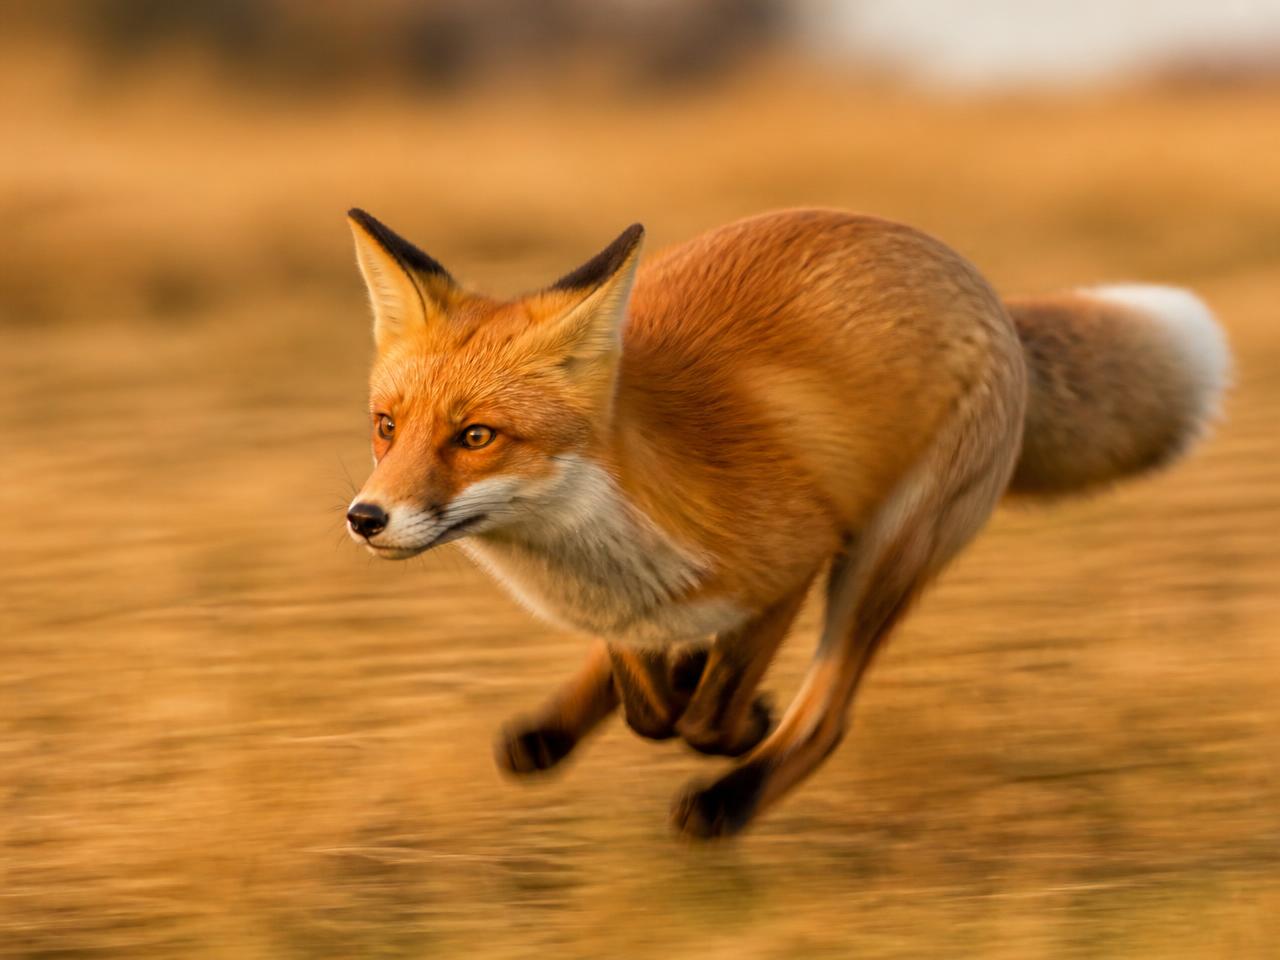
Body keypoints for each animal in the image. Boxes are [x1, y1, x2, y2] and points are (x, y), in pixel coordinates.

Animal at [343, 207, 1229, 840]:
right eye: (386, 426)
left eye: (476, 437)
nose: (365, 517)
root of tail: (964, 273)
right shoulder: (622, 609)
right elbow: (648, 702)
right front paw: (664, 685)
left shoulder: (794, 565)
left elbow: (702, 719)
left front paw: (737, 723)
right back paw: (561, 727)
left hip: (884, 556)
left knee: (828, 717)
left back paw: (728, 802)